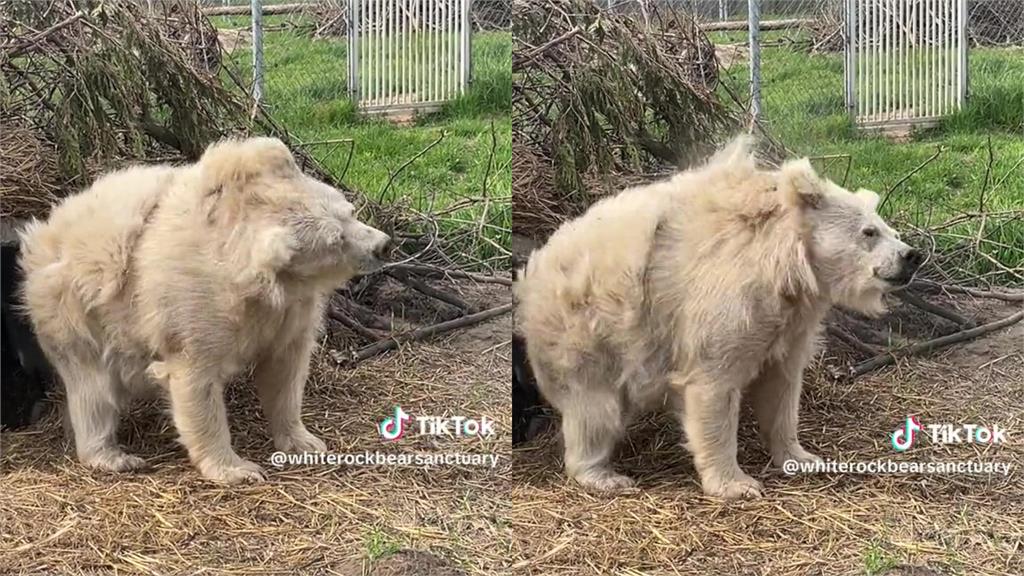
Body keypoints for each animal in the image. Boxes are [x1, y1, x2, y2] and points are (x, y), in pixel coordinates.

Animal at [18, 136, 391, 481]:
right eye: (335, 239)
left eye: (349, 212)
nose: (383, 245)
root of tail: (43, 232)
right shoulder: (194, 310)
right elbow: (196, 384)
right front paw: (238, 469)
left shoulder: (289, 310)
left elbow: (286, 370)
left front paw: (304, 441)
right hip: (75, 314)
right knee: (93, 390)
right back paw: (113, 456)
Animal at [516, 135, 925, 498]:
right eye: (869, 231)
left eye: (891, 229)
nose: (912, 255)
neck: (781, 263)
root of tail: (534, 270)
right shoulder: (728, 303)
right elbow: (714, 385)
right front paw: (736, 484)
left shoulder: (790, 321)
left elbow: (782, 386)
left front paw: (802, 457)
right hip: (586, 332)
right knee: (594, 408)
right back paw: (605, 476)